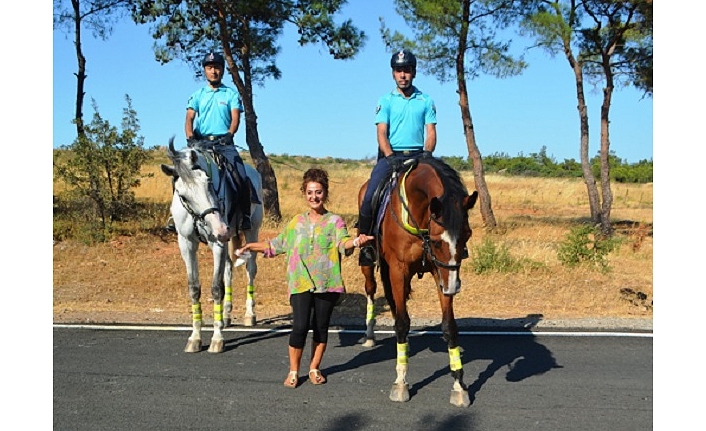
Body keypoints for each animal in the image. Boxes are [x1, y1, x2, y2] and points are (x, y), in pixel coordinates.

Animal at [161, 138, 262, 354]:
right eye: (182, 195)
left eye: (208, 182)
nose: (221, 229)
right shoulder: (186, 244)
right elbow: (194, 288)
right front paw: (195, 337)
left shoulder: (218, 243)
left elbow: (216, 288)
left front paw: (217, 339)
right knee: (229, 269)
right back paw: (226, 315)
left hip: (250, 231)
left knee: (250, 269)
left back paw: (249, 314)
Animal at [358, 157, 478, 406]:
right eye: (437, 240)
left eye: (467, 235)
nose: (453, 287)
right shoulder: (398, 269)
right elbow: (403, 322)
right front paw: (400, 383)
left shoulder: (441, 271)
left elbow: (449, 326)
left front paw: (459, 386)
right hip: (370, 264)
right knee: (372, 290)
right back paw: (370, 335)